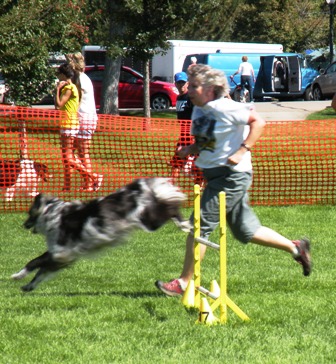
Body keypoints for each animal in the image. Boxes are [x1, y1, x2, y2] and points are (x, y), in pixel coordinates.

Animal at [11, 178, 190, 292]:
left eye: (29, 214)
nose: (24, 225)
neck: (53, 214)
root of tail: (135, 190)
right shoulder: (62, 256)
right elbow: (40, 270)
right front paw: (27, 285)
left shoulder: (60, 253)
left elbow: (35, 263)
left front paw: (18, 276)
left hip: (150, 220)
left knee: (171, 208)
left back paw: (185, 223)